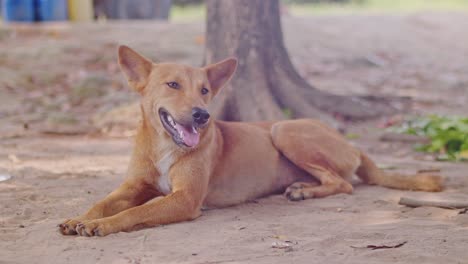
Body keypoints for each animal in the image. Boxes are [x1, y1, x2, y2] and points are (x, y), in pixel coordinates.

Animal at [58, 46, 442, 237]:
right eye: (172, 85)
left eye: (205, 90)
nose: (202, 115)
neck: (164, 145)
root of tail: (350, 142)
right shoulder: (134, 186)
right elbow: (104, 202)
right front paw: (81, 217)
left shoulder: (185, 199)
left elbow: (136, 212)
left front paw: (101, 226)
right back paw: (301, 186)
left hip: (283, 130)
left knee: (344, 184)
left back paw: (304, 191)